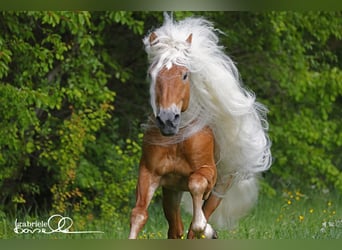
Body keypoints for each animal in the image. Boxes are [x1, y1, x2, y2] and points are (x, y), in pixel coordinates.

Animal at [129, 14, 272, 240]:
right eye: (152, 74)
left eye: (185, 75)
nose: (168, 120)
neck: (178, 139)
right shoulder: (149, 173)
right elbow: (139, 214)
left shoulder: (208, 173)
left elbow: (196, 190)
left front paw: (208, 229)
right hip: (171, 191)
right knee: (175, 229)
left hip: (220, 186)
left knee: (196, 222)